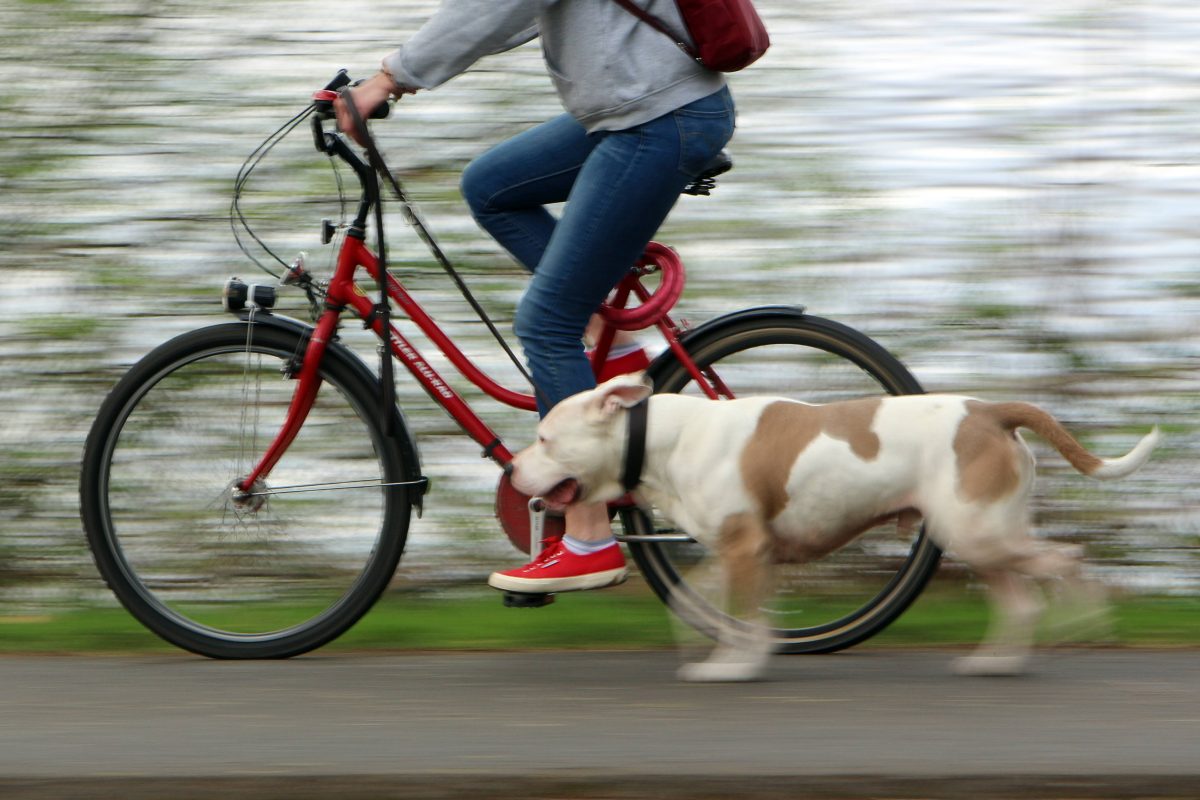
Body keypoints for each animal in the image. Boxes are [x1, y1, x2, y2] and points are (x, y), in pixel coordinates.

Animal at [508, 376, 1161, 681]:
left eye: (545, 438)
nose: (511, 468)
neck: (661, 438)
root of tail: (991, 411)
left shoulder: (745, 548)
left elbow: (741, 617)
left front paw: (734, 668)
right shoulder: (741, 552)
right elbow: (711, 606)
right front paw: (725, 653)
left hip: (977, 532)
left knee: (1067, 561)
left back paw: (1083, 618)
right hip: (974, 534)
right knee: (1021, 599)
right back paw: (995, 663)